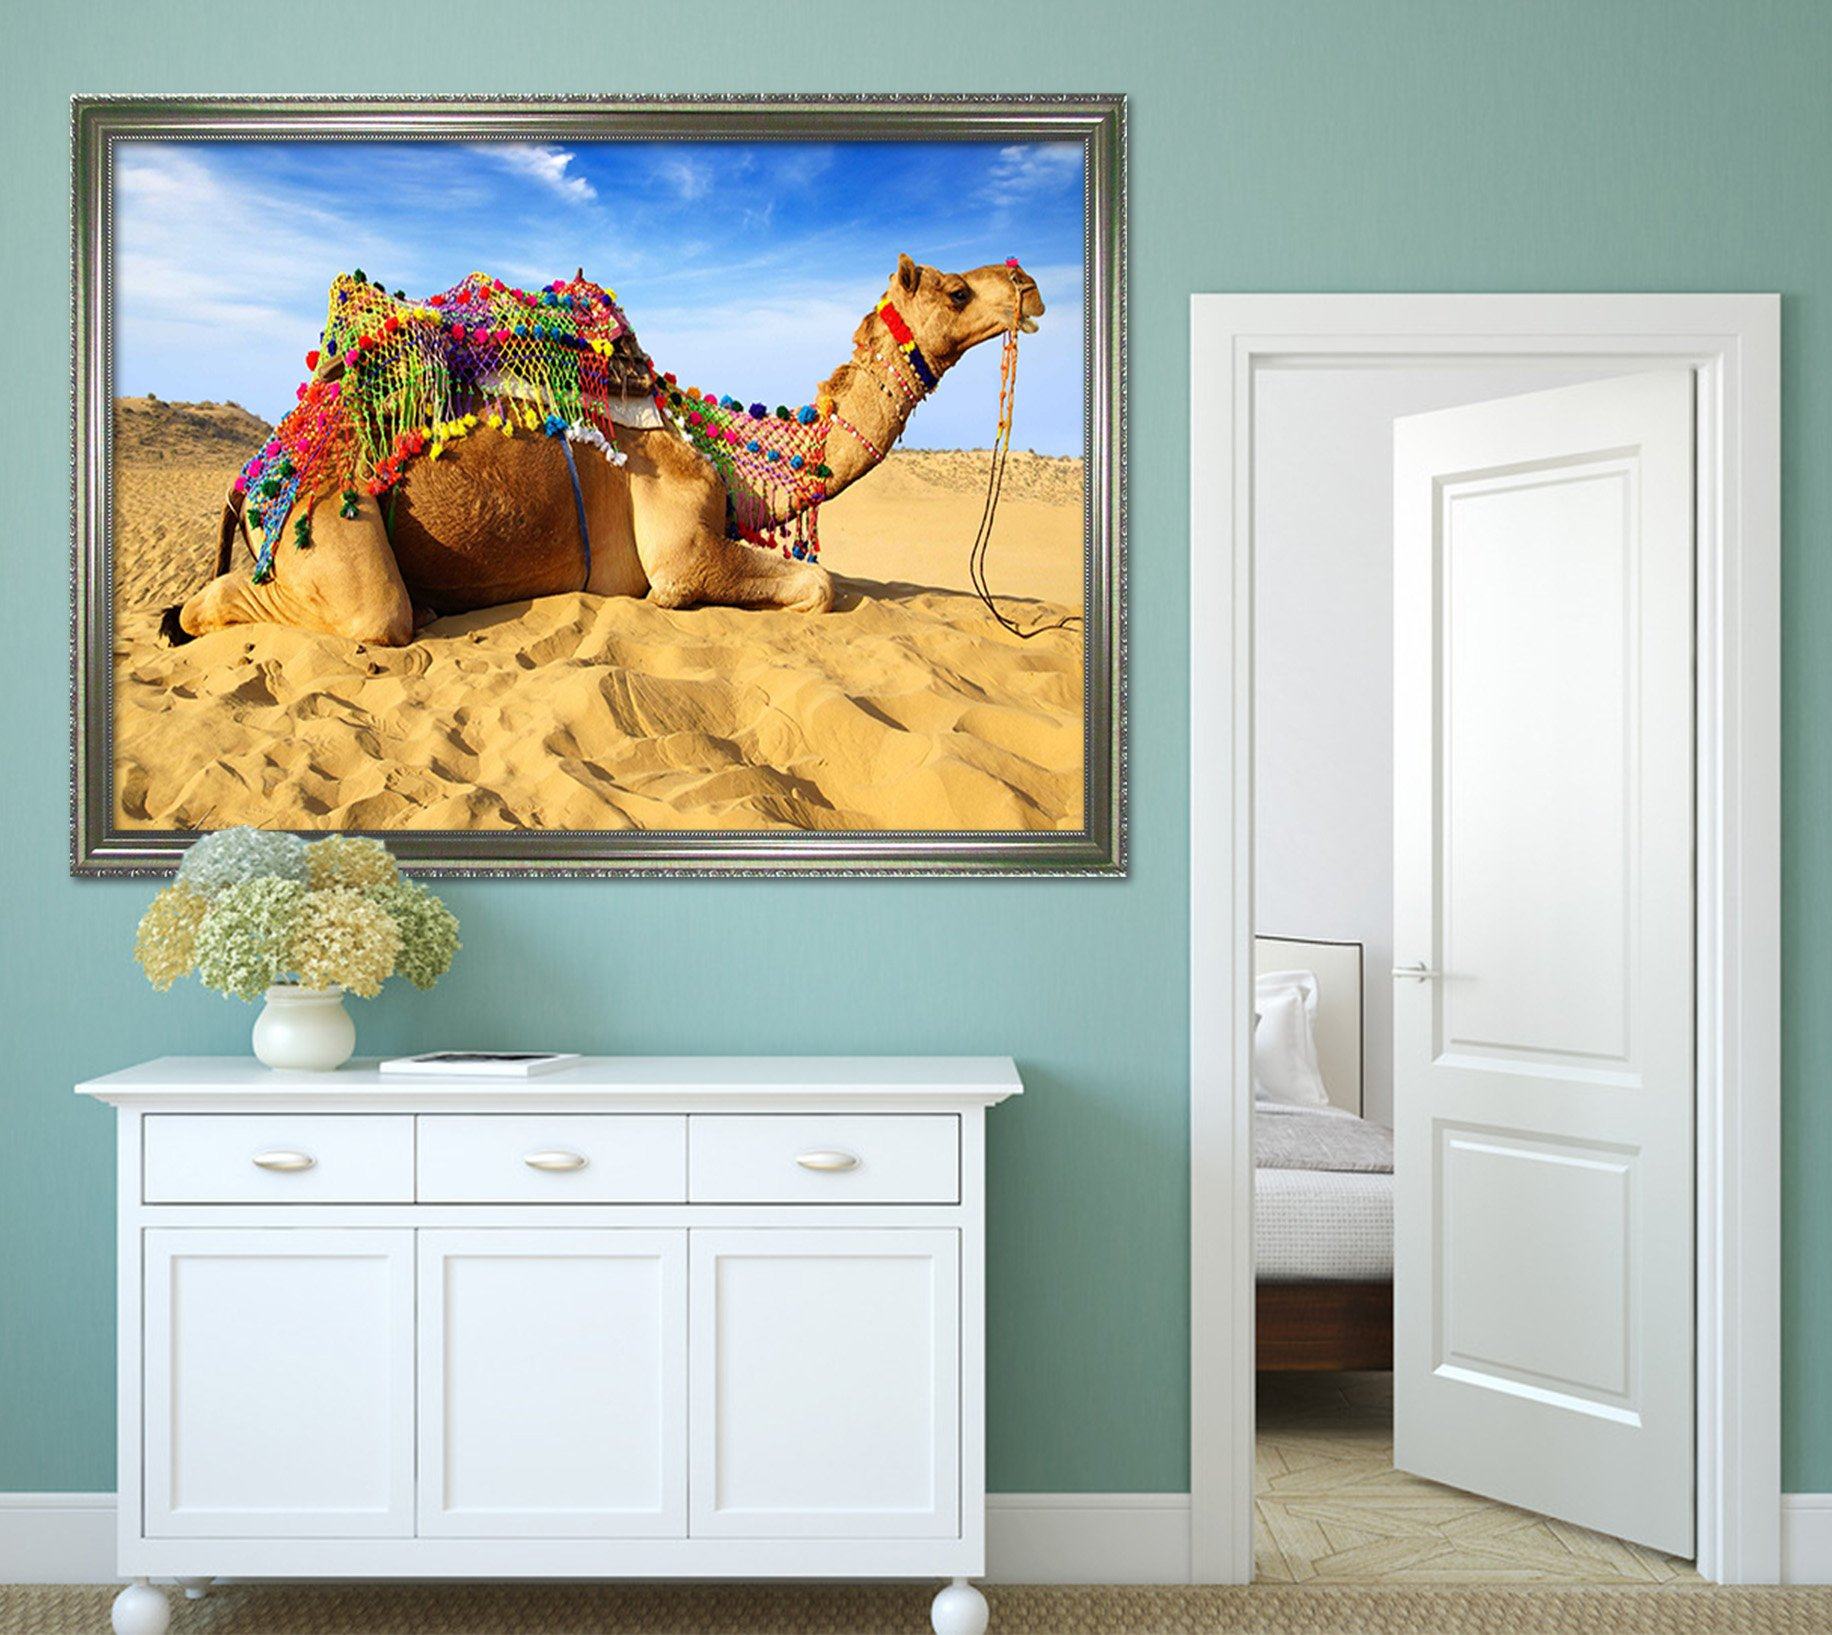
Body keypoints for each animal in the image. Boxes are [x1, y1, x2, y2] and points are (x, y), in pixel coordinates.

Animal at [162, 256, 1045, 648]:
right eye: (955, 290)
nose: (1028, 284)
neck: (730, 458)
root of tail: (257, 470)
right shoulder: (683, 546)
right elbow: (817, 585)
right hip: (322, 516)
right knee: (340, 611)